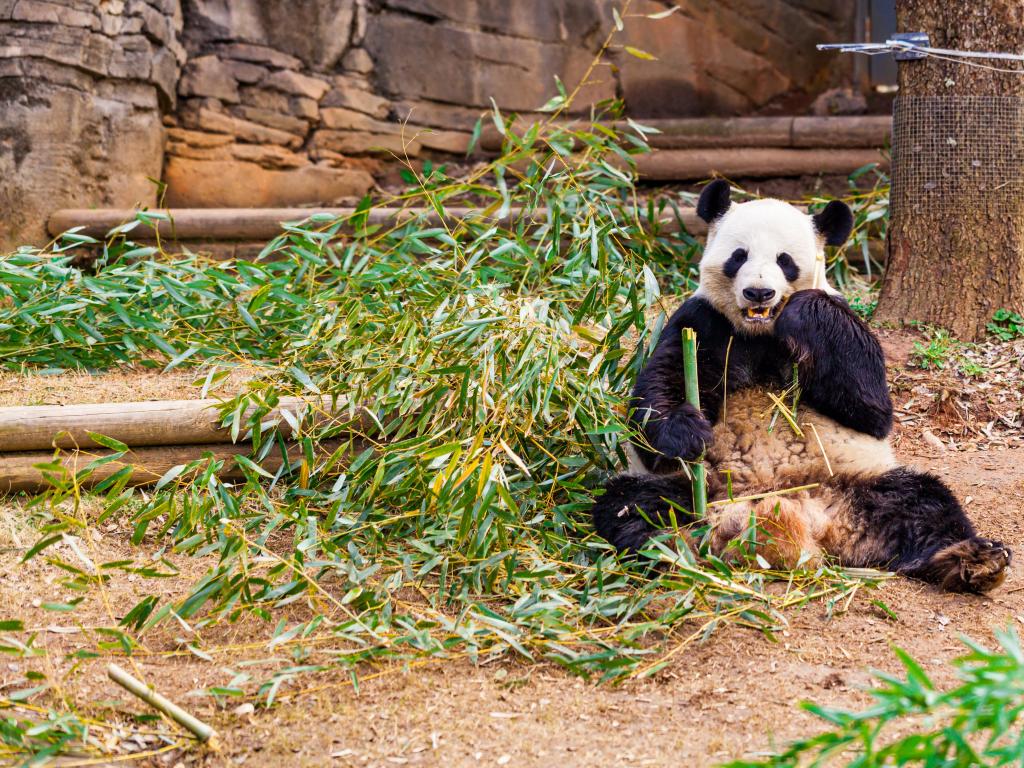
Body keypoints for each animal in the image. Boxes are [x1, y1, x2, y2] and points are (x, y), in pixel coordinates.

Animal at [589, 180, 1011, 593]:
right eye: (739, 256)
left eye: (784, 261)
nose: (759, 292)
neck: (759, 332)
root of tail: (805, 518)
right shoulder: (701, 321)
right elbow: (659, 388)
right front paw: (688, 433)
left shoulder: (842, 323)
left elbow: (873, 406)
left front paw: (803, 308)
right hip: (700, 488)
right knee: (634, 507)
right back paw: (673, 551)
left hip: (861, 483)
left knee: (924, 503)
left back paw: (974, 560)